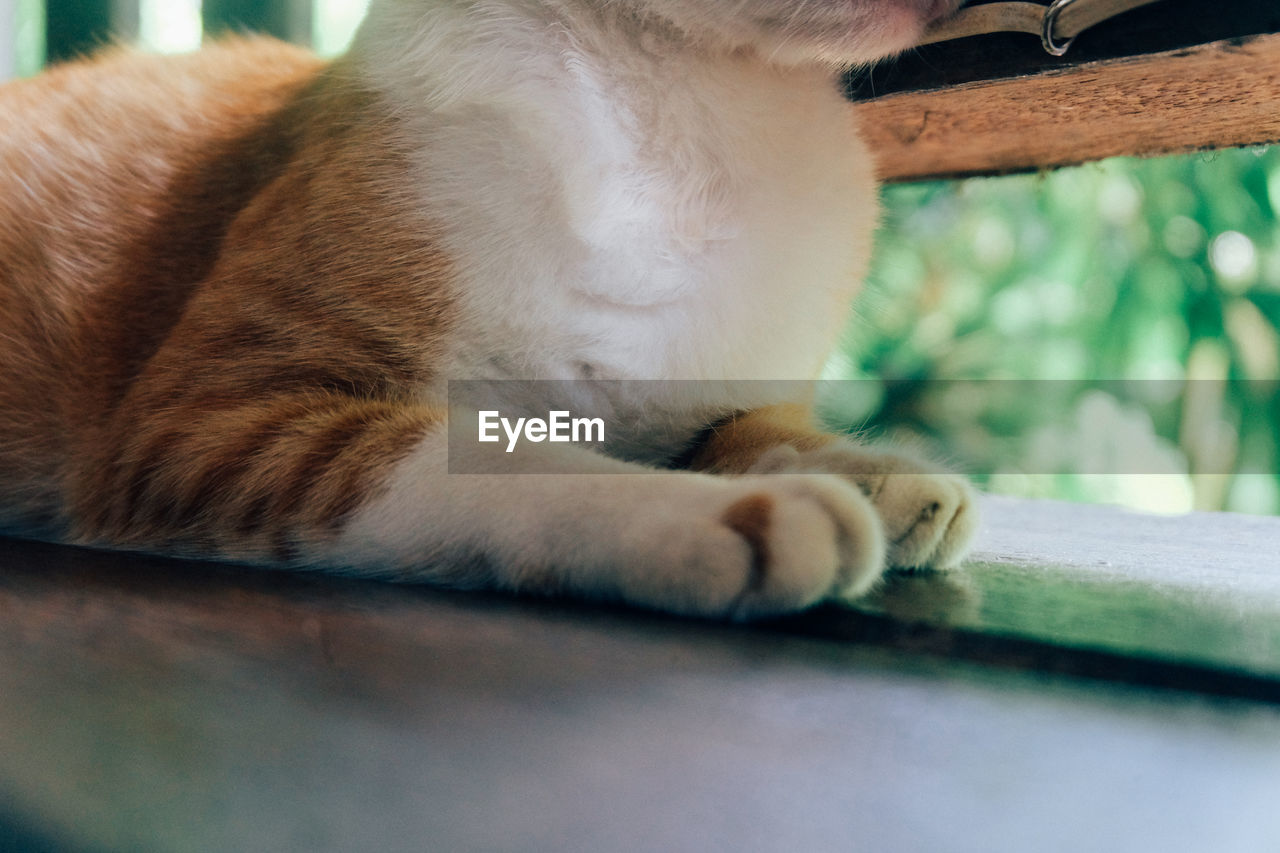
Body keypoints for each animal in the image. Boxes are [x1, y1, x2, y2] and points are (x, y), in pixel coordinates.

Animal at [0, 3, 972, 622]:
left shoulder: (722, 400)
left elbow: (753, 429)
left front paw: (874, 474)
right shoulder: (201, 421)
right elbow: (513, 457)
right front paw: (725, 512)